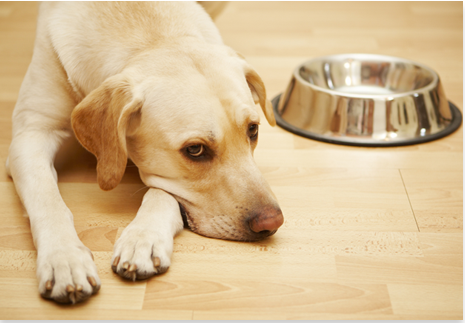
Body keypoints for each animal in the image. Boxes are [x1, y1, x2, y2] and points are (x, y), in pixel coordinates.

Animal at [6, 2, 282, 306]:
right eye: (195, 150)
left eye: (253, 130)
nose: (272, 222)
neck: (151, 36)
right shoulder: (30, 134)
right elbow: (48, 200)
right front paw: (64, 259)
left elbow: (162, 193)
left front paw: (143, 239)